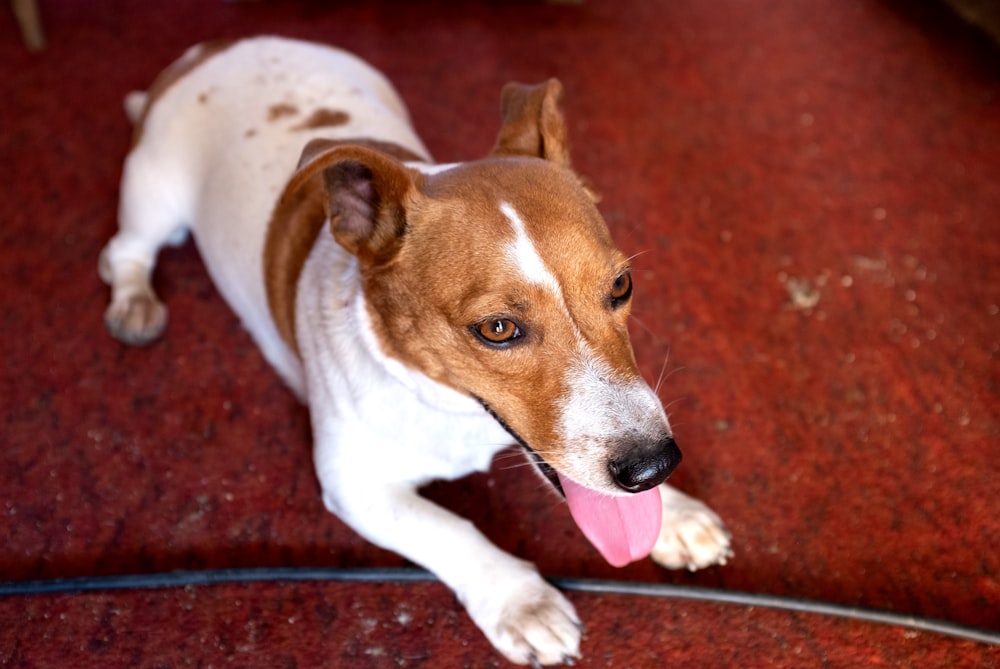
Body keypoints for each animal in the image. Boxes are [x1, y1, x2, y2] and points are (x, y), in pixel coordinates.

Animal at [99, 36, 728, 664]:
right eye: (497, 328)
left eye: (621, 286)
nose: (654, 467)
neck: (444, 404)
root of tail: (214, 48)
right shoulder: (355, 484)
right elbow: (450, 531)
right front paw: (521, 601)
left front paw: (674, 513)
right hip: (152, 198)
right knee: (125, 251)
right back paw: (134, 303)